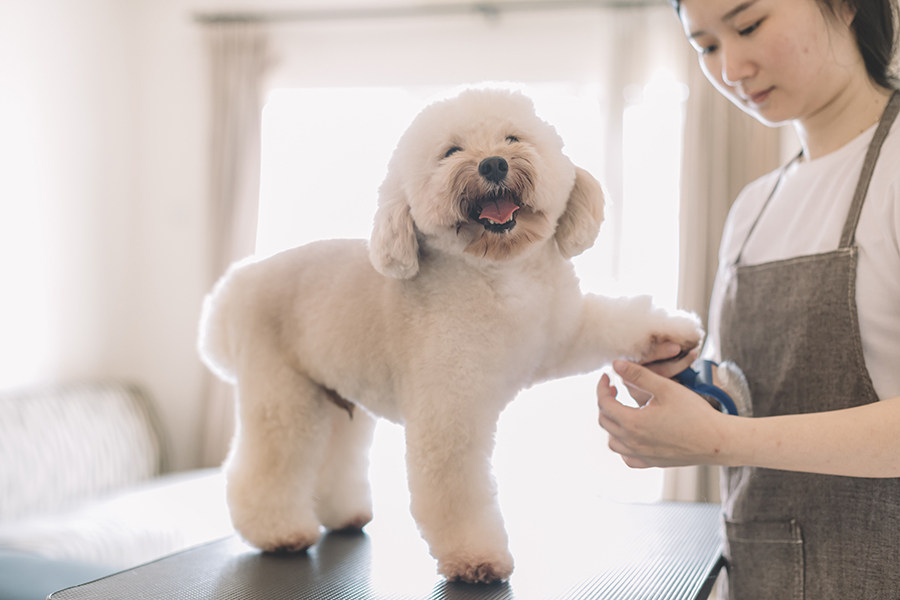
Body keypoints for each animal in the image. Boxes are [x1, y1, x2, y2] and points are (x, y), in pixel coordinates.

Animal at [199, 86, 704, 584]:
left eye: (513, 138)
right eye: (451, 152)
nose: (493, 164)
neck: (500, 277)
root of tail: (234, 287)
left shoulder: (562, 331)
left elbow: (613, 319)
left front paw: (671, 333)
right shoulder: (450, 413)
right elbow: (456, 491)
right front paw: (476, 558)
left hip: (340, 395)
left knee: (336, 456)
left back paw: (344, 515)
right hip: (283, 397)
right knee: (266, 465)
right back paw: (278, 532)